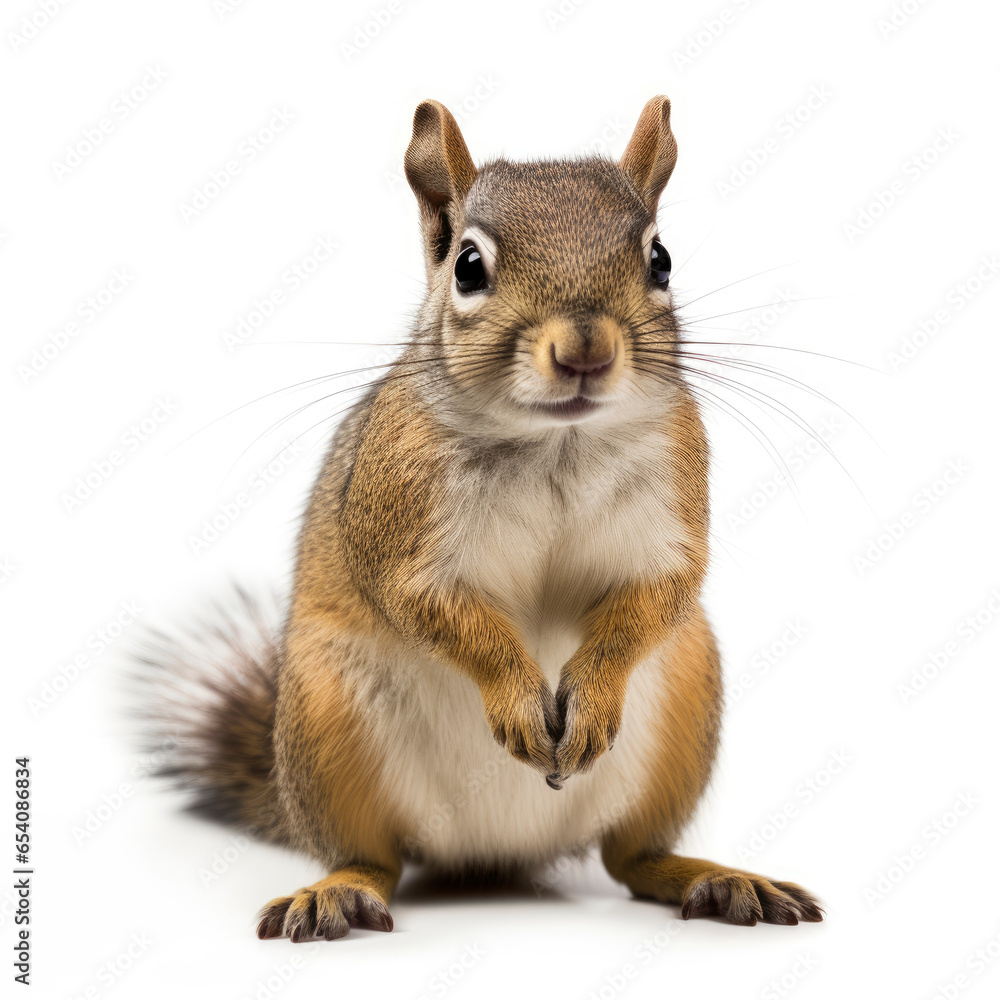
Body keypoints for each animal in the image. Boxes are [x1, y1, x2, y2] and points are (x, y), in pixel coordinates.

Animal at [141, 95, 823, 941]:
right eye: (469, 267)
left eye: (660, 260)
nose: (585, 350)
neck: (557, 443)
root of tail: (496, 856)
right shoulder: (402, 521)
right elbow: (432, 606)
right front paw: (518, 699)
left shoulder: (671, 499)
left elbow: (659, 592)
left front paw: (590, 695)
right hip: (327, 725)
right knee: (374, 858)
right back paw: (337, 892)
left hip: (687, 703)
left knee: (632, 858)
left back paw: (716, 879)